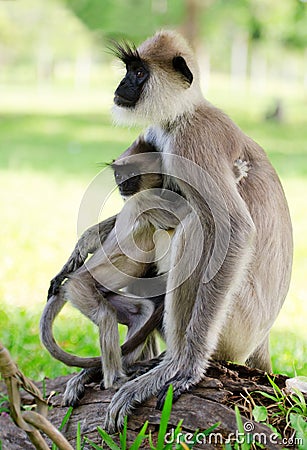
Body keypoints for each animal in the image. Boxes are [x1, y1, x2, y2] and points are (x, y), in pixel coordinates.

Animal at [102, 29, 292, 432]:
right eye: (128, 70)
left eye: (138, 73)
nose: (122, 85)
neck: (183, 113)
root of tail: (263, 340)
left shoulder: (193, 139)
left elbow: (233, 230)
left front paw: (187, 367)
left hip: (237, 324)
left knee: (197, 227)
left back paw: (174, 360)